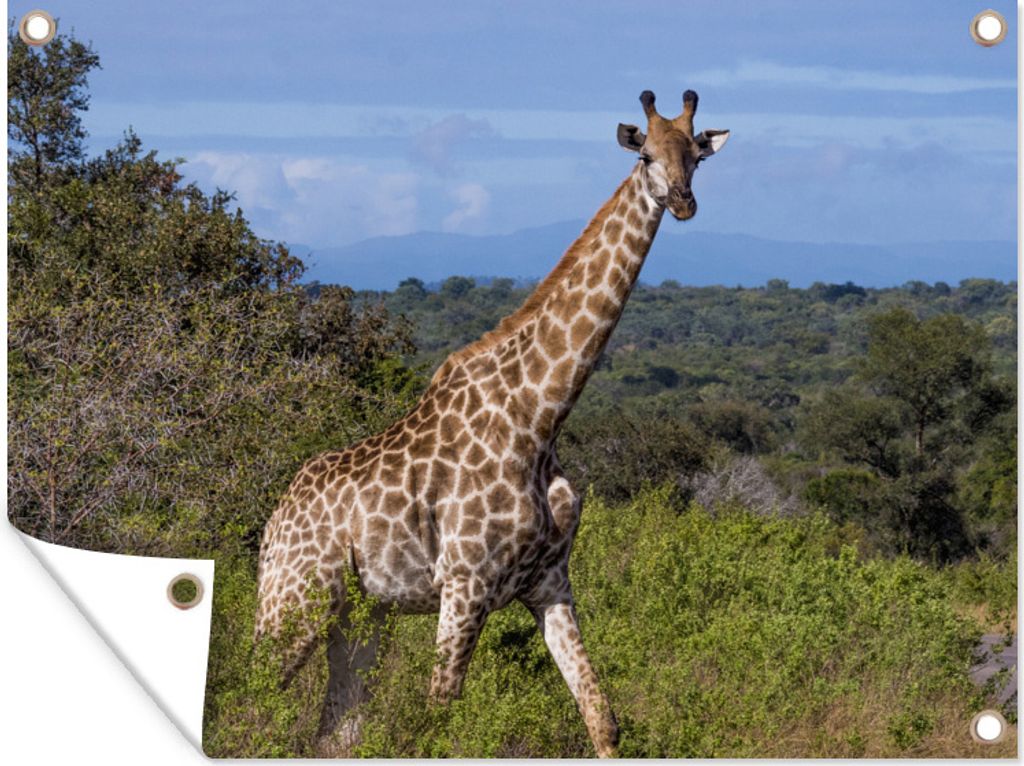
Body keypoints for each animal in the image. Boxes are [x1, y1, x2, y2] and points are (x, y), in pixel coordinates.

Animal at [255, 89, 729, 757]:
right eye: (645, 157)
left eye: (696, 156)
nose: (684, 202)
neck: (541, 415)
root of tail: (272, 525)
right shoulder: (465, 583)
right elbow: (436, 719)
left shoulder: (551, 582)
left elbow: (602, 718)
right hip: (295, 603)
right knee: (249, 699)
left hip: (361, 614)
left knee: (335, 731)